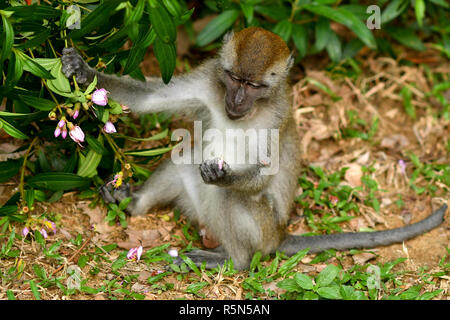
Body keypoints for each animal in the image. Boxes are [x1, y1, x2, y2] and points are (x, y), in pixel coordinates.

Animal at [61, 26, 448, 270]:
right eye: (234, 78)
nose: (235, 100)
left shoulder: (277, 114)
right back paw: (135, 203)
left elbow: (261, 176)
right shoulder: (209, 79)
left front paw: (225, 176)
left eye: (255, 85)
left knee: (229, 196)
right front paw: (81, 70)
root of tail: (279, 236)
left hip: (261, 230)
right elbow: (150, 100)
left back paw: (236, 260)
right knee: (187, 158)